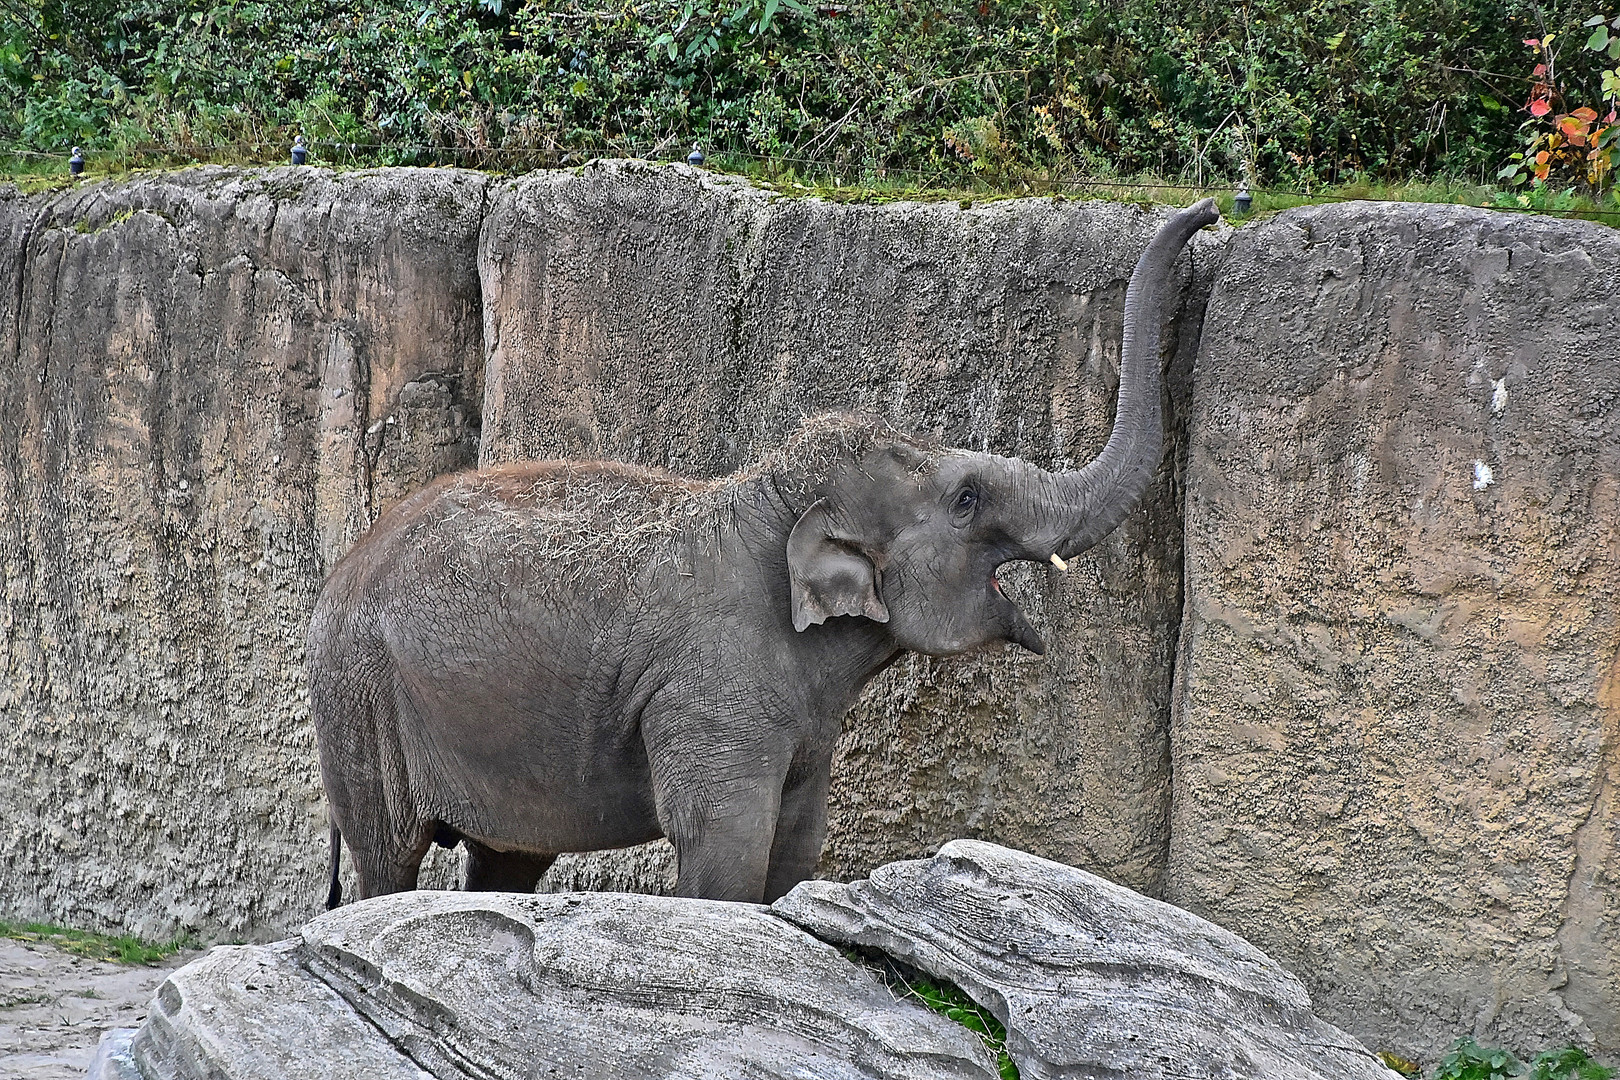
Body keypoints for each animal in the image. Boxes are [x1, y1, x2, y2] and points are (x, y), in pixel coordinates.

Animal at [306, 194, 1218, 906]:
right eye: (966, 500)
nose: (1211, 211)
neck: (772, 497)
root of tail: (343, 567)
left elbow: (795, 849)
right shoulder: (712, 689)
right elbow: (728, 858)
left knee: (508, 859)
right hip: (361, 699)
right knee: (388, 859)